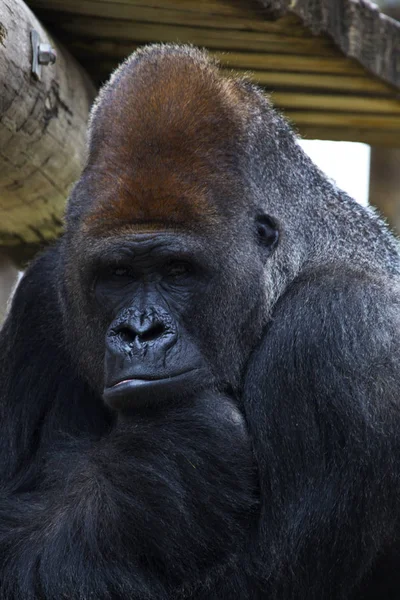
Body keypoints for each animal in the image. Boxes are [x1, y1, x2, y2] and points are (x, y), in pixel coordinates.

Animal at [0, 44, 400, 596]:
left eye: (178, 270)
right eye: (118, 274)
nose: (140, 333)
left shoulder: (338, 329)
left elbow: (267, 579)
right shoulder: (42, 296)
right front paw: (166, 456)